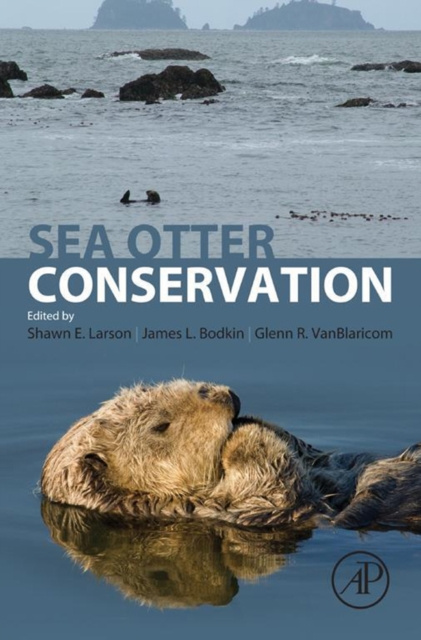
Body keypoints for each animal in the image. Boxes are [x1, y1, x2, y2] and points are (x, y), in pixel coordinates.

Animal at [41, 380, 421, 530]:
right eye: (160, 426)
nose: (223, 395)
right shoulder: (232, 510)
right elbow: (274, 489)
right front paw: (244, 435)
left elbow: (312, 456)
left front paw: (255, 421)